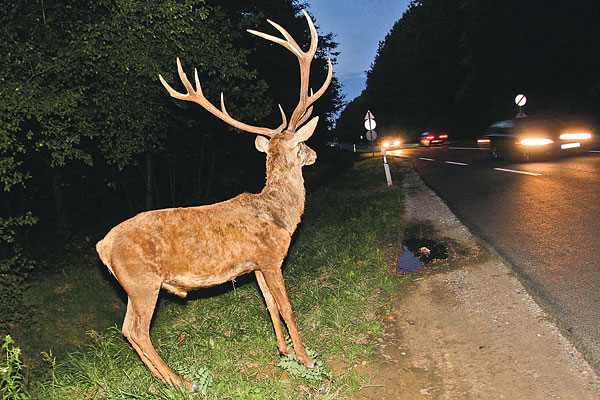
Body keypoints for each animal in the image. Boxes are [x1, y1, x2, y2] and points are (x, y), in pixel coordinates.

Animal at [96, 10, 336, 392]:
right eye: (302, 145)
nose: (314, 154)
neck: (279, 215)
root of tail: (103, 247)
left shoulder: (255, 265)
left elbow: (269, 305)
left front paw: (283, 351)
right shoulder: (270, 256)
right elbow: (286, 306)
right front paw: (306, 358)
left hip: (134, 288)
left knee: (127, 330)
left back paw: (167, 382)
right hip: (142, 282)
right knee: (137, 330)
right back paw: (183, 383)